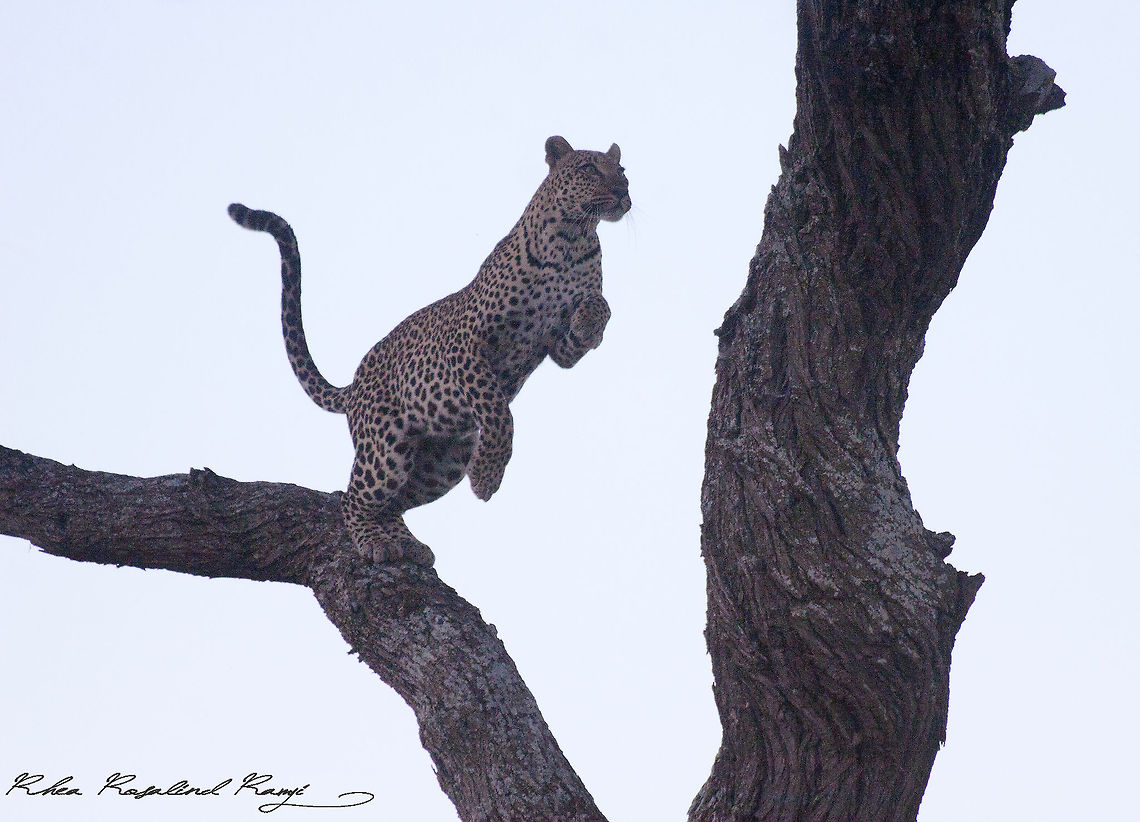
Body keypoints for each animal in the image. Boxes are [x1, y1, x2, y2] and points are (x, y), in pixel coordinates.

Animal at [228, 136, 630, 566]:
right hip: (385, 449)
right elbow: (498, 411)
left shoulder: (556, 347)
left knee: (393, 502)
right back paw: (374, 541)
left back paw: (406, 544)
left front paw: (590, 320)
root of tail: (354, 386)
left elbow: (598, 307)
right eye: (589, 168)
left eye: (622, 170)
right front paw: (487, 477)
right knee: (354, 498)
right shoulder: (467, 344)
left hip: (443, 463)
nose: (624, 190)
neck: (572, 239)